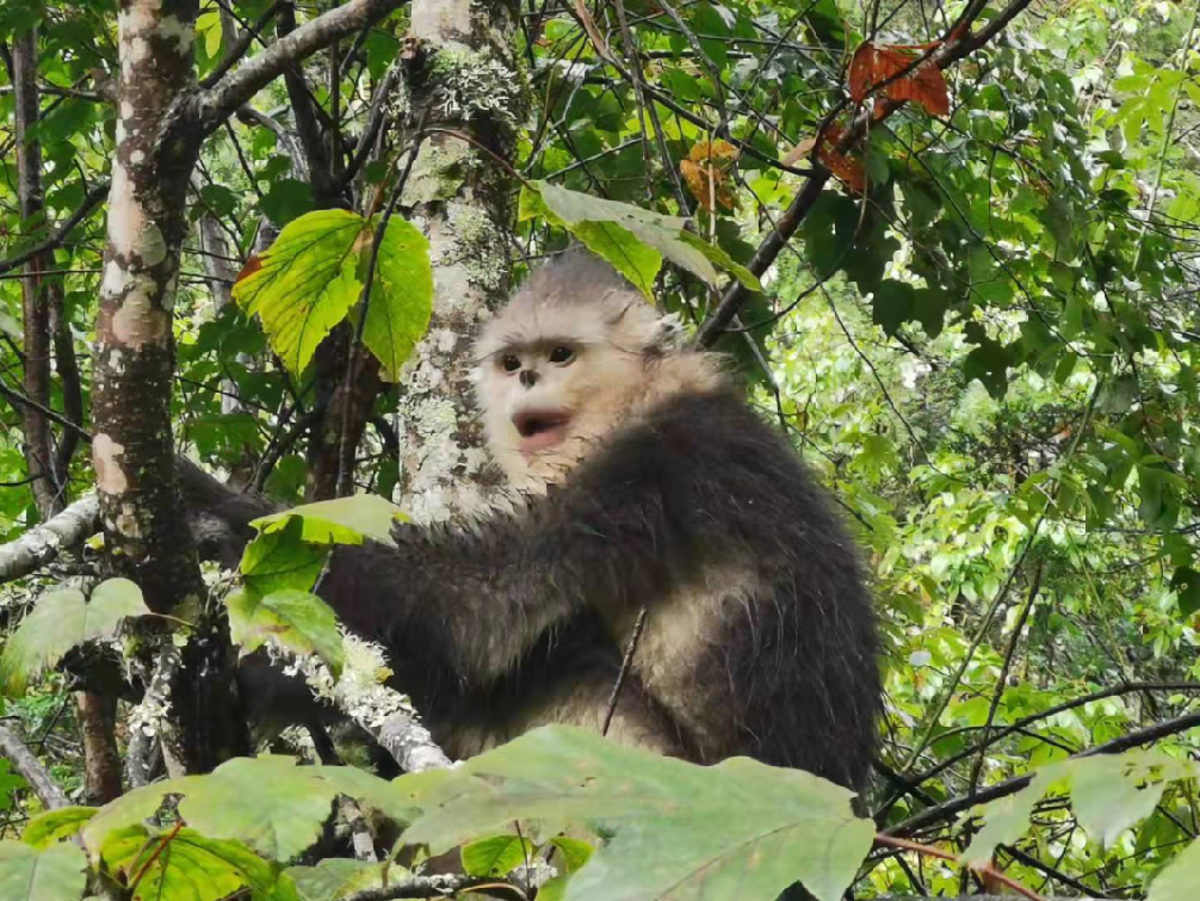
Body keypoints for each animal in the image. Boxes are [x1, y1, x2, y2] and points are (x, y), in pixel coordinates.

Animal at [187, 247, 883, 787]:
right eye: (512, 360)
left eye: (561, 355)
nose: (525, 378)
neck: (644, 401)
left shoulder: (647, 474)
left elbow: (478, 606)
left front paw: (214, 509)